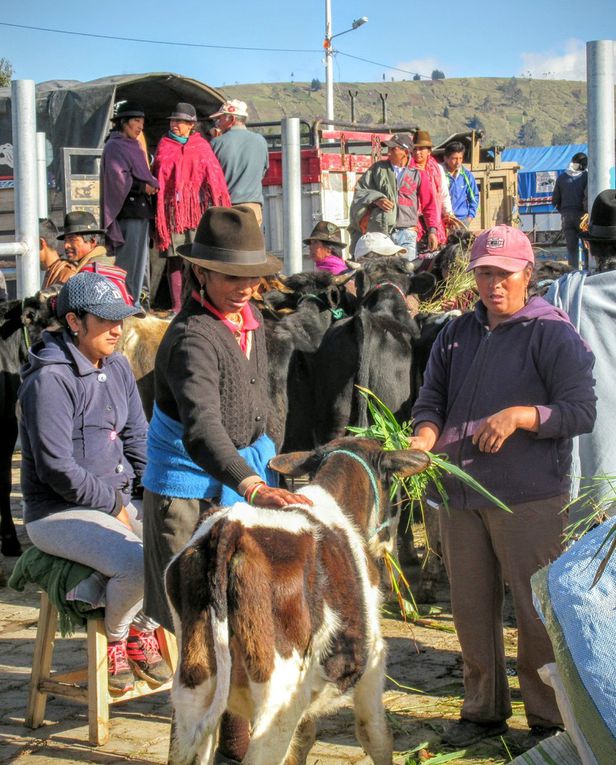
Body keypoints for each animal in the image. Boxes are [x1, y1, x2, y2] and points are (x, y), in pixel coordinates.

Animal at [166, 436, 430, 764]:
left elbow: (303, 739)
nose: (389, 542)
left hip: (192, 689)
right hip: (277, 700)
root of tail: (230, 528)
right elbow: (376, 735)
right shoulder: (375, 657)